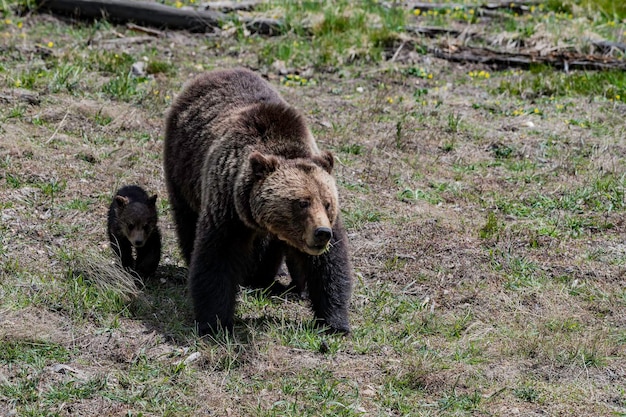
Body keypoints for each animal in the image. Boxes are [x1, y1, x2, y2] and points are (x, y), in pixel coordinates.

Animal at [163, 67, 352, 334]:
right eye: (301, 202)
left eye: (327, 202)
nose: (321, 233)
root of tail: (213, 73)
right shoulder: (227, 205)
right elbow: (217, 257)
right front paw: (215, 322)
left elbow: (328, 265)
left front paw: (335, 322)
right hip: (183, 169)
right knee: (187, 220)